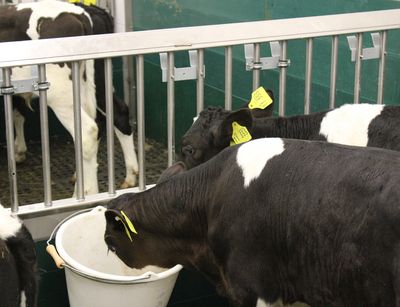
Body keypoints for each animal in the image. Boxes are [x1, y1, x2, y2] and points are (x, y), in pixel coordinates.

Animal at [0, 0, 139, 195]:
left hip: (61, 94)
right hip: (99, 81)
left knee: (88, 131)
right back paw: (130, 176)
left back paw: (86, 192)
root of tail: (79, 13)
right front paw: (19, 150)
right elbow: (17, 113)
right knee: (118, 114)